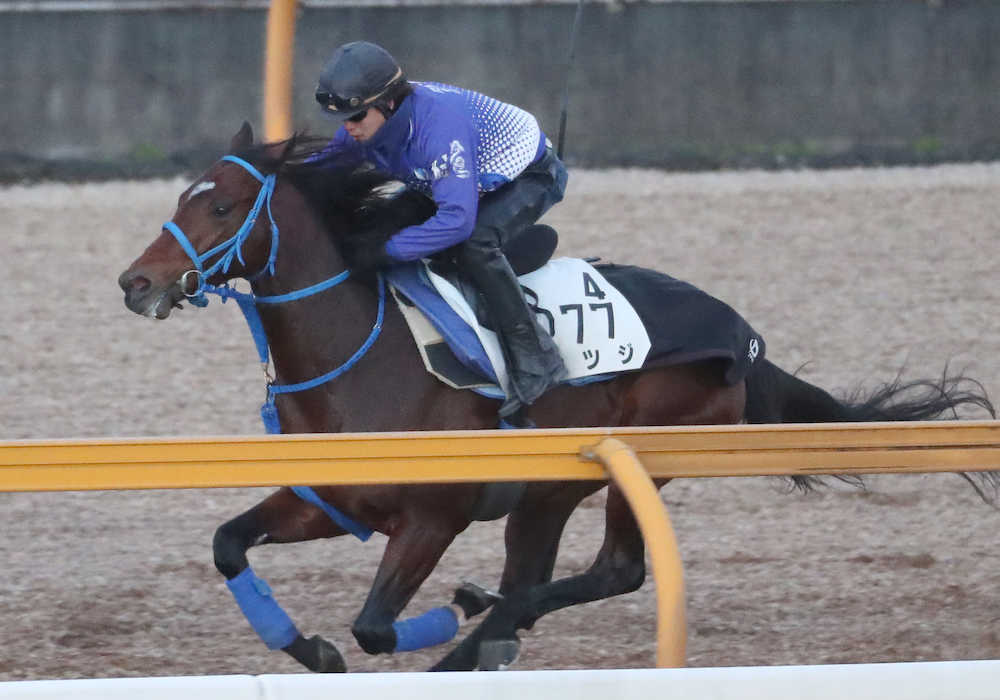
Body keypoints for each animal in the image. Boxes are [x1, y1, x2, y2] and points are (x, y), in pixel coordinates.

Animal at [119, 124, 1000, 672]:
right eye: (180, 199)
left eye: (222, 205)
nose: (137, 283)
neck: (362, 367)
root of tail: (744, 336)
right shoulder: (326, 500)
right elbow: (229, 544)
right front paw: (310, 648)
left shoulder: (433, 517)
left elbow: (373, 627)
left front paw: (434, 622)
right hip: (544, 492)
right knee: (547, 577)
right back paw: (488, 625)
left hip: (636, 457)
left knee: (616, 572)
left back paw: (480, 626)